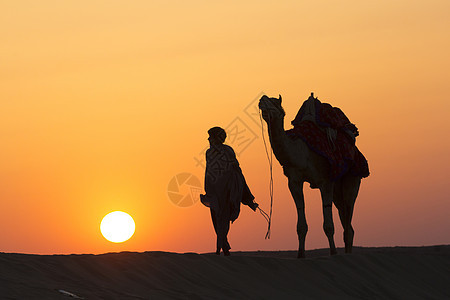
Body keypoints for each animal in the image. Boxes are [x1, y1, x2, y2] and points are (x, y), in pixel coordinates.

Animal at [258, 95, 360, 258]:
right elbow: (301, 224)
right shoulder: (294, 181)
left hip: (352, 178)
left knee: (348, 218)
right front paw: (301, 254)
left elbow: (328, 225)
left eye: (274, 101)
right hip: (338, 191)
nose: (262, 98)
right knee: (345, 219)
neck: (301, 153)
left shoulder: (326, 181)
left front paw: (333, 252)